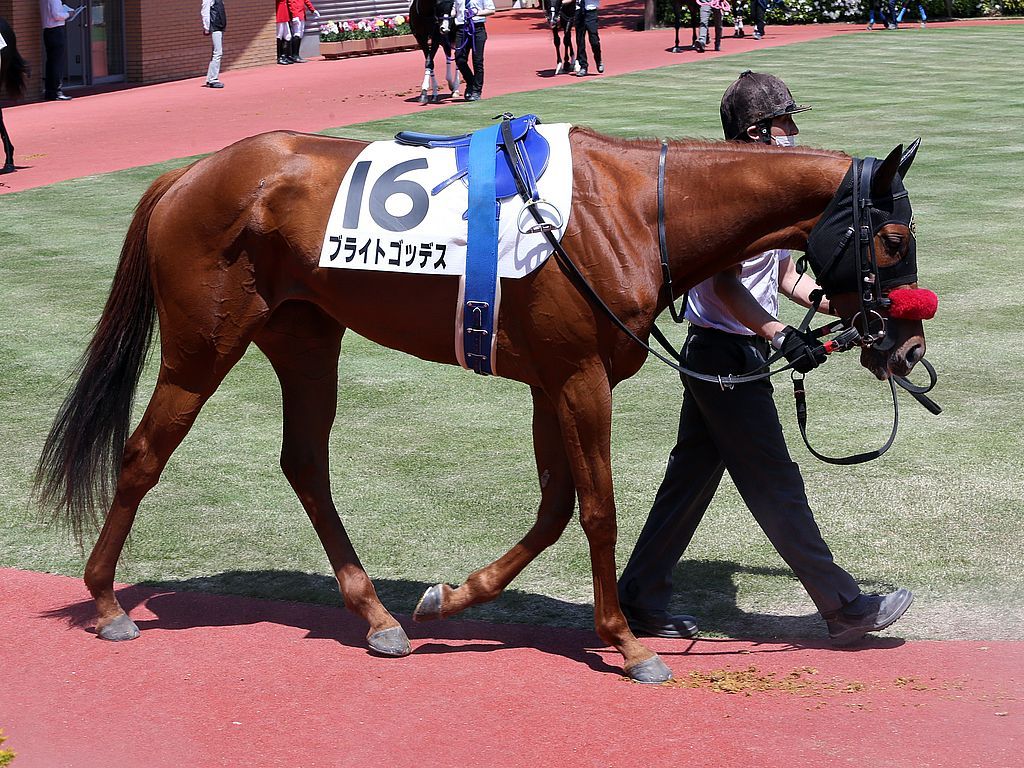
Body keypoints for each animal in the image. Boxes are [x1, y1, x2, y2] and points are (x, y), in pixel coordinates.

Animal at [35, 125, 928, 682]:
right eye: (892, 239)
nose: (908, 350)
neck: (634, 209)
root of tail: (189, 173)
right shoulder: (578, 377)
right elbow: (598, 508)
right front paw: (627, 644)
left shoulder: (549, 380)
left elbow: (556, 506)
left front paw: (454, 596)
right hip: (202, 347)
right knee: (145, 453)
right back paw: (107, 601)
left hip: (306, 338)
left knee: (305, 464)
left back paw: (377, 616)